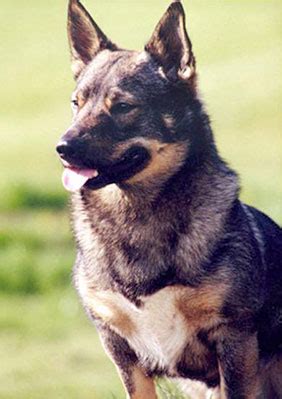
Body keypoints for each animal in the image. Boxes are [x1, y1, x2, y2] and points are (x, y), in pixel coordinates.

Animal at [56, 1, 282, 398]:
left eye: (123, 106)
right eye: (76, 103)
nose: (62, 148)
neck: (135, 216)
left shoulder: (234, 340)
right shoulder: (120, 348)